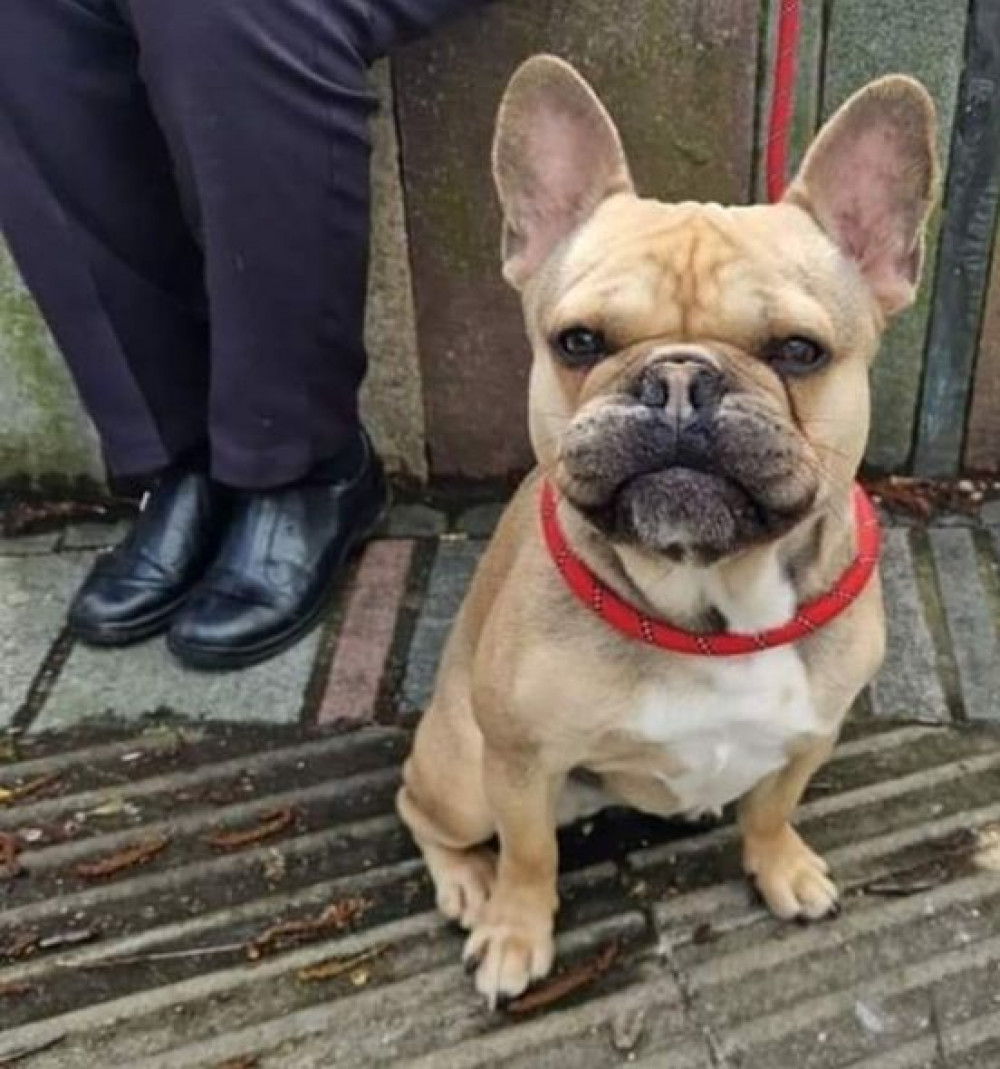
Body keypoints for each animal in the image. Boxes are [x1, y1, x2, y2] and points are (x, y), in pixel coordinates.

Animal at [397, 54, 936, 1004]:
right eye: (577, 341)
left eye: (799, 351)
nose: (679, 379)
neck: (710, 600)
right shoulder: (521, 761)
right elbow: (530, 856)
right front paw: (514, 932)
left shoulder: (813, 733)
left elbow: (774, 806)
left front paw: (781, 865)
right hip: (464, 767)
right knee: (422, 807)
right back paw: (466, 882)